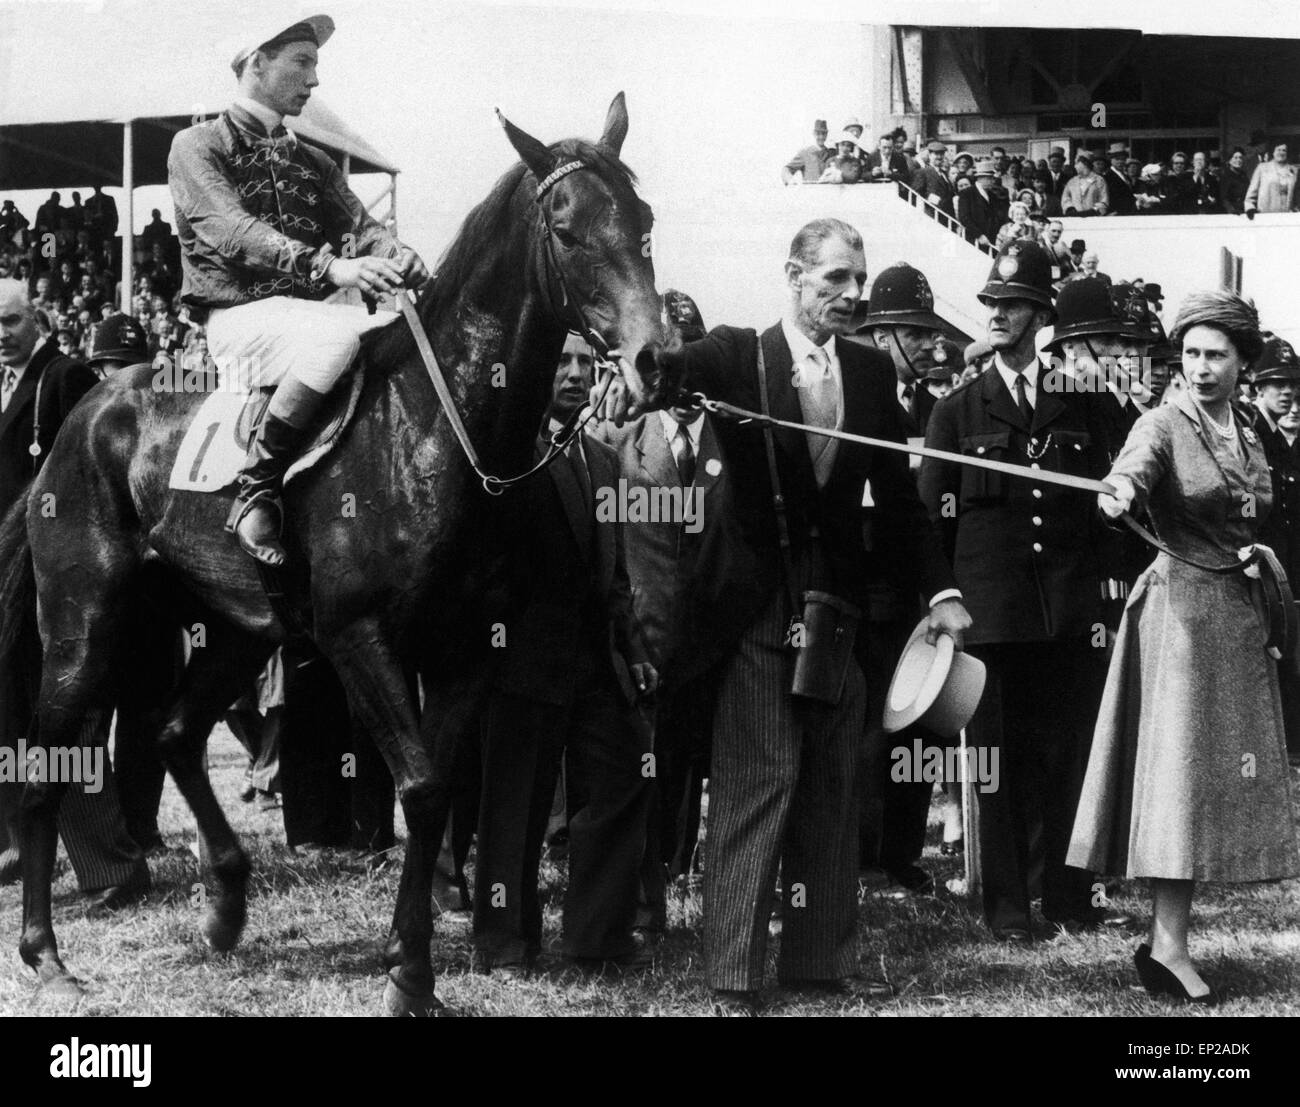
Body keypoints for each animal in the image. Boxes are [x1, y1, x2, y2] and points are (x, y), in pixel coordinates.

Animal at [0, 90, 670, 1018]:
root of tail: (84, 414)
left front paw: (413, 966)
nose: (655, 357)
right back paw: (47, 954)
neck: (433, 427)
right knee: (44, 768)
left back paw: (225, 903)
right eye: (566, 228)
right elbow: (421, 786)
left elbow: (435, 792)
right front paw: (407, 971)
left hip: (239, 627)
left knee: (173, 731)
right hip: (83, 628)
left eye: (643, 219)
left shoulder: (464, 651)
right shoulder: (360, 636)